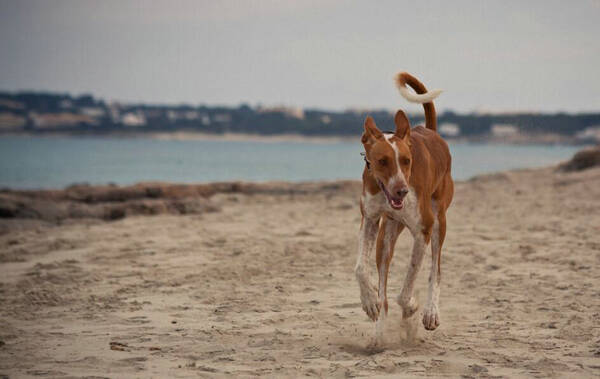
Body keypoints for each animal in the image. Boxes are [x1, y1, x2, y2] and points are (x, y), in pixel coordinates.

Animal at [354, 71, 452, 338]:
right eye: (382, 161)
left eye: (407, 161)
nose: (403, 191)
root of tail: (431, 131)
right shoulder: (370, 220)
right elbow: (361, 269)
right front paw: (369, 302)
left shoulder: (423, 230)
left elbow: (409, 281)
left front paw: (411, 306)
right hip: (387, 234)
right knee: (384, 286)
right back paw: (378, 332)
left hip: (439, 222)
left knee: (436, 270)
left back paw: (430, 312)